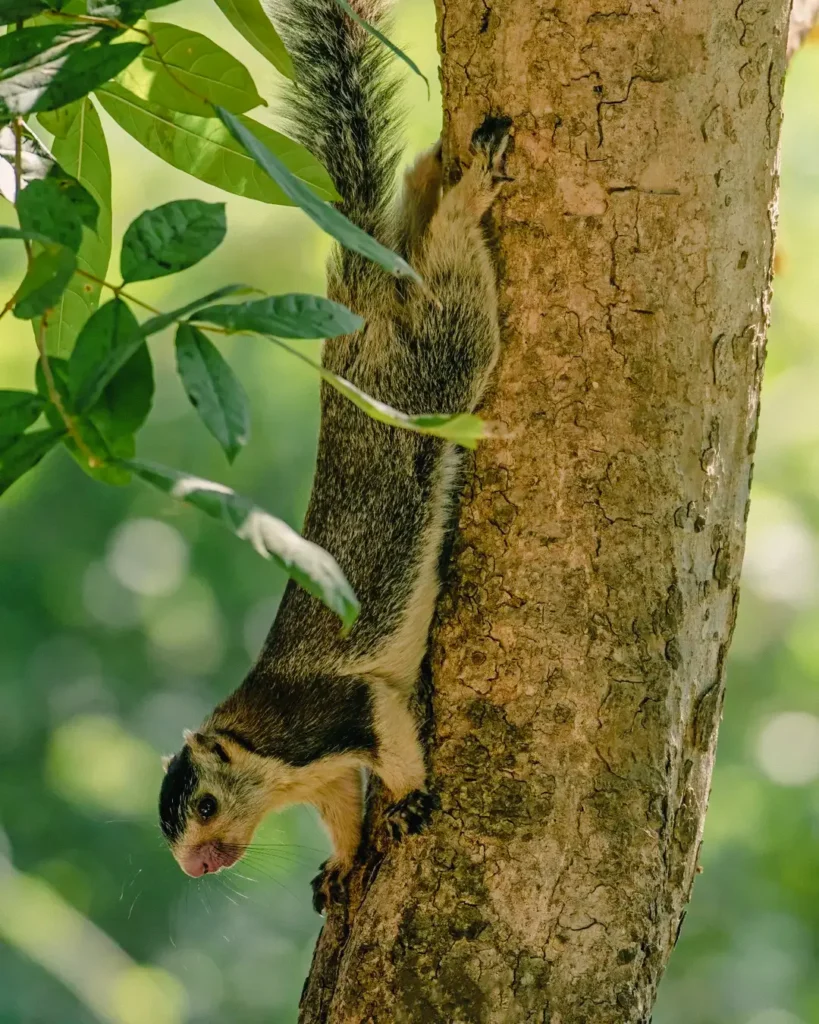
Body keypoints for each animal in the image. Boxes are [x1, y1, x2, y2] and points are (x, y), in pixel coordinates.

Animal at [158, 0, 511, 912]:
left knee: (449, 275)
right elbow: (343, 813)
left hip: (440, 365)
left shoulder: (332, 714)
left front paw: (412, 797)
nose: (197, 867)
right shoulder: (317, 777)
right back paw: (431, 170)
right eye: (168, 828)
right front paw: (345, 864)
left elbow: (389, 740)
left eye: (204, 805)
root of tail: (357, 298)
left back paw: (465, 193)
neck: (264, 757)